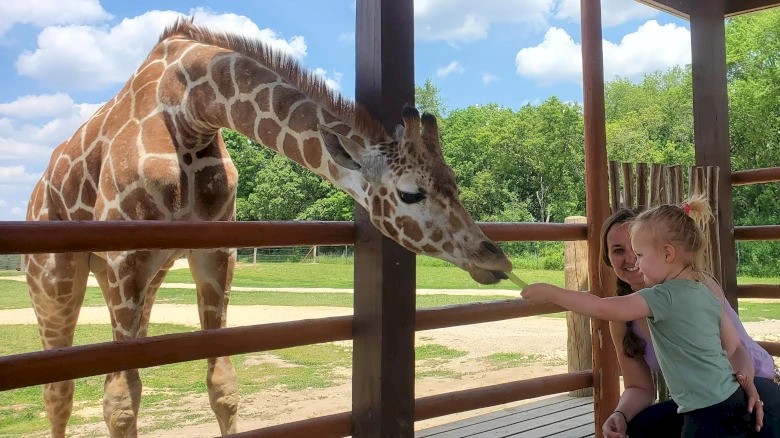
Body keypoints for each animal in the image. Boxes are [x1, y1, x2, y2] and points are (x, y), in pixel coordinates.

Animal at [23, 19, 512, 437]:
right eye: (411, 193)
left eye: (455, 182)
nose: (497, 259)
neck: (189, 109)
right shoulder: (125, 255)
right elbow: (120, 402)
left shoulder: (214, 252)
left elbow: (222, 384)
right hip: (56, 282)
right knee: (59, 390)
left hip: (147, 276)